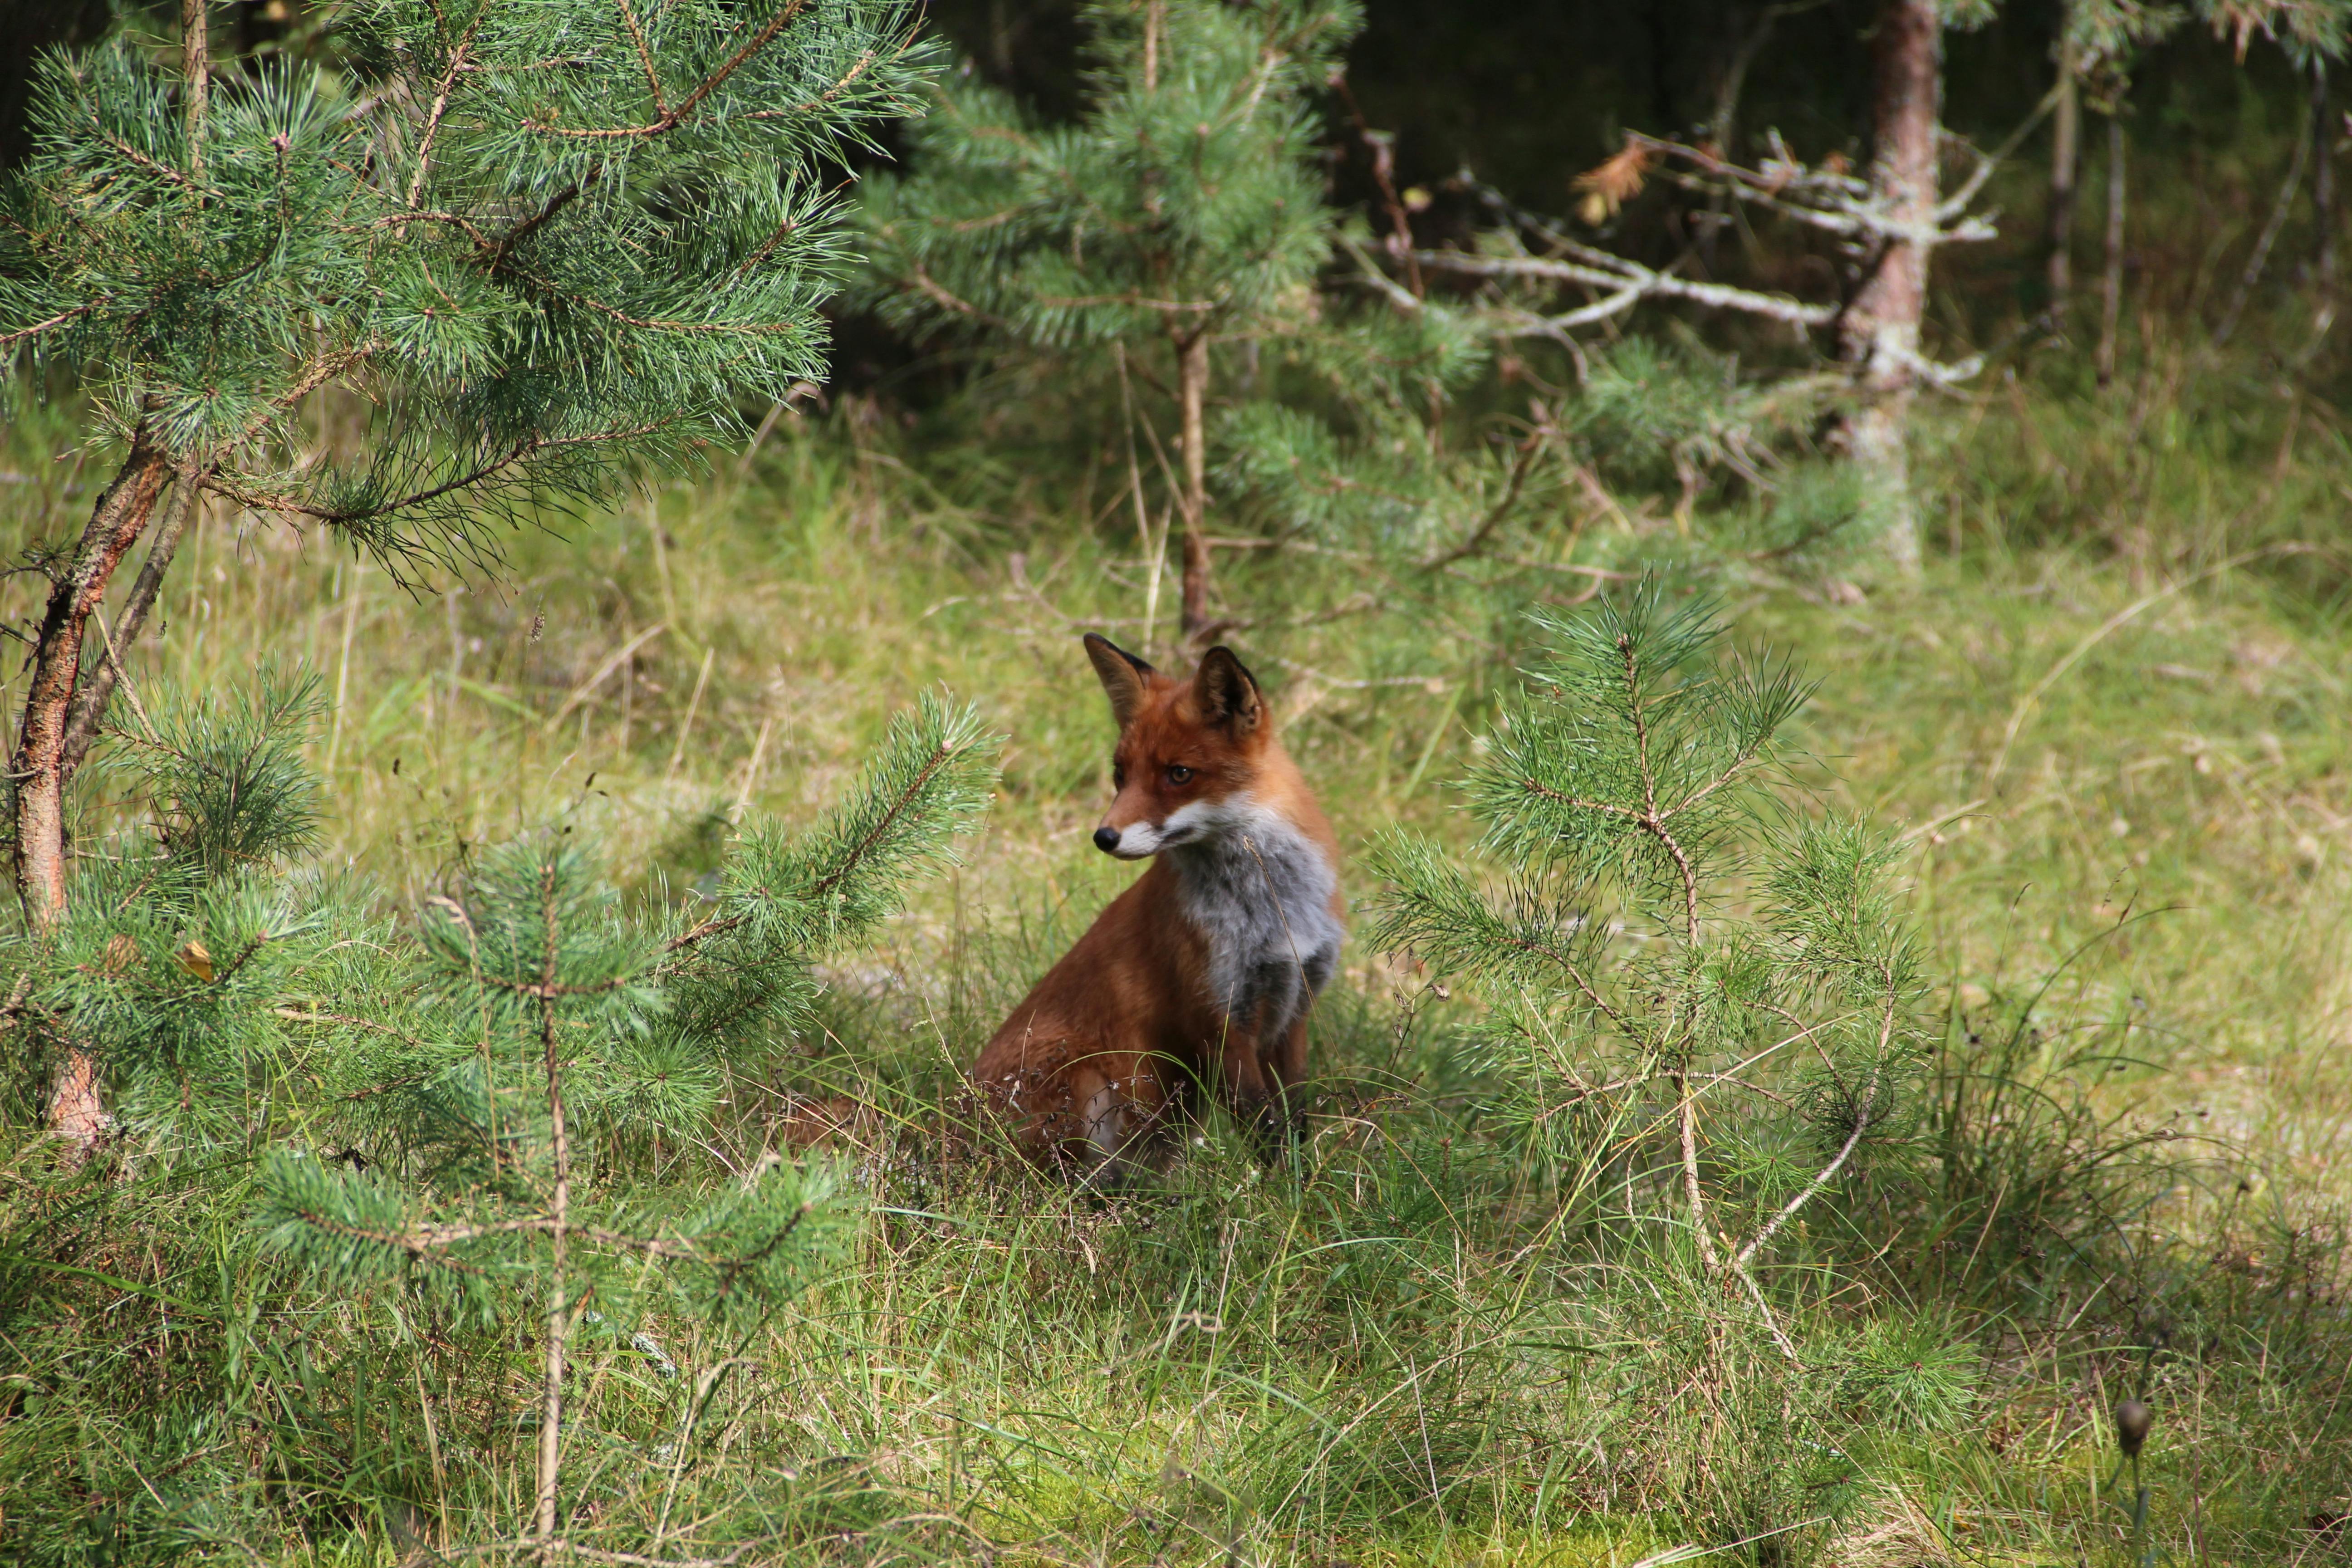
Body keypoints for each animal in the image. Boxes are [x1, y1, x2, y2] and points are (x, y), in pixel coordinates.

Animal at [971, 633, 1345, 1178]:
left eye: (1179, 774)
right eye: (1120, 774)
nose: (1103, 837)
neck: (1272, 910)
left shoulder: (1294, 1010)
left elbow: (1294, 1119)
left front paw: (1302, 1183)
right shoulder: (1218, 1021)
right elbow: (1263, 1126)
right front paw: (1280, 1193)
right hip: (1083, 1083)